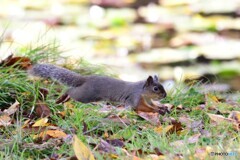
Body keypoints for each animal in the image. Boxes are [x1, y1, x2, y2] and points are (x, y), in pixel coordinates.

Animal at [28, 63, 167, 112]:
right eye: (155, 88)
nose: (165, 95)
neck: (143, 92)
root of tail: (85, 79)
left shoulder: (147, 99)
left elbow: (152, 105)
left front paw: (162, 107)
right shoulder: (135, 97)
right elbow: (141, 107)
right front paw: (158, 110)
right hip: (85, 95)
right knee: (71, 91)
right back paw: (63, 97)